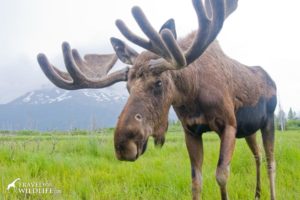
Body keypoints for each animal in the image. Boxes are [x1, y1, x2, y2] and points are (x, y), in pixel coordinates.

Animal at [37, 0, 276, 199]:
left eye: (159, 82)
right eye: (127, 87)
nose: (123, 144)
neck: (192, 94)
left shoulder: (228, 124)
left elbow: (221, 176)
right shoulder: (191, 131)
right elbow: (196, 181)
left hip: (268, 121)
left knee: (270, 162)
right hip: (249, 130)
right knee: (257, 156)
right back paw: (257, 194)